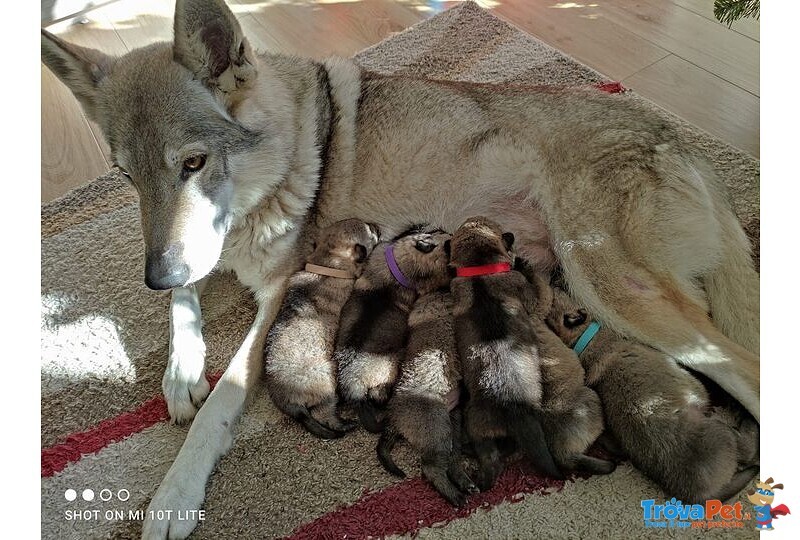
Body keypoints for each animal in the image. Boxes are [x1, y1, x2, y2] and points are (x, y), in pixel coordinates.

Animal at [264, 218, 380, 438]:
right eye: (370, 231)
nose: (376, 225)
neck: (325, 262)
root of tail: (291, 403)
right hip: (326, 386)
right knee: (324, 415)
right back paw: (344, 425)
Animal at [334, 226, 454, 432]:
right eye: (448, 244)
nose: (451, 233)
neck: (399, 265)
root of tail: (354, 387)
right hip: (388, 373)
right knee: (379, 396)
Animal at [548, 284, 760, 504]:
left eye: (556, 295)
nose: (556, 281)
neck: (583, 340)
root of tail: (697, 496)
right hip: (720, 432)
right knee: (747, 452)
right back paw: (746, 419)